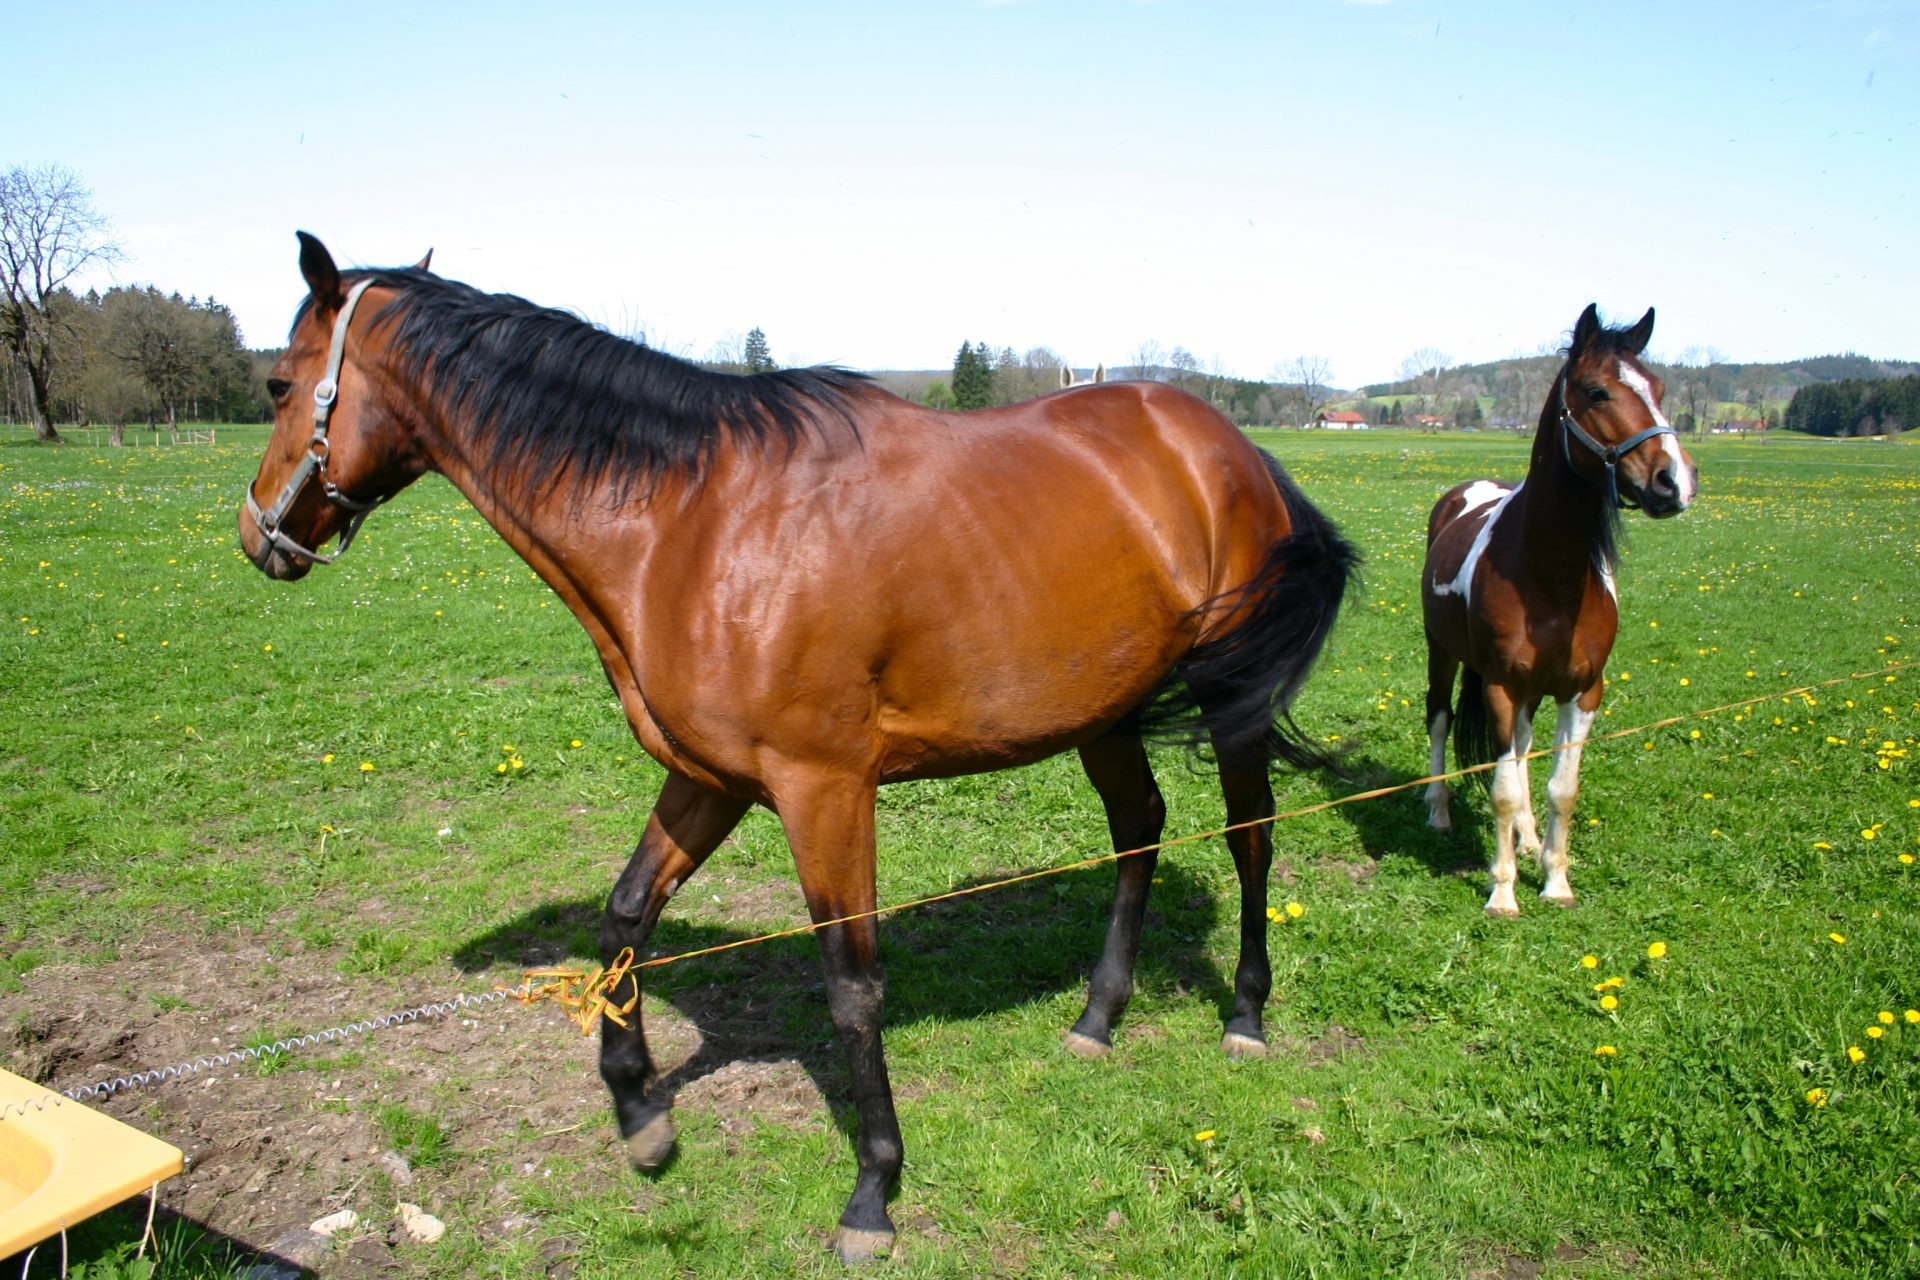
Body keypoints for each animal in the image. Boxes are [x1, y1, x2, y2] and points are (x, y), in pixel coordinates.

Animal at [239, 234, 1358, 1261]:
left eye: (280, 382)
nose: (259, 535)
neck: (693, 524)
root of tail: (1233, 451)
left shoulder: (824, 790)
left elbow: (851, 983)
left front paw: (873, 1192)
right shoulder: (711, 777)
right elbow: (625, 917)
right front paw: (641, 1113)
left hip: (1227, 697)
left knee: (1250, 836)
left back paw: (1246, 1015)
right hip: (1102, 711)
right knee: (1139, 831)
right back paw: (1096, 1017)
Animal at [1421, 304, 1697, 918]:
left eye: (1660, 388)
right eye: (1596, 392)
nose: (1674, 481)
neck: (1551, 576)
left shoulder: (1583, 691)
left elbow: (1559, 788)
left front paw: (1554, 880)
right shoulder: (1501, 686)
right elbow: (1502, 790)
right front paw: (1502, 892)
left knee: (1524, 752)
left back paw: (1525, 838)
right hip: (1443, 654)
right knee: (1440, 720)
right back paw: (1439, 809)